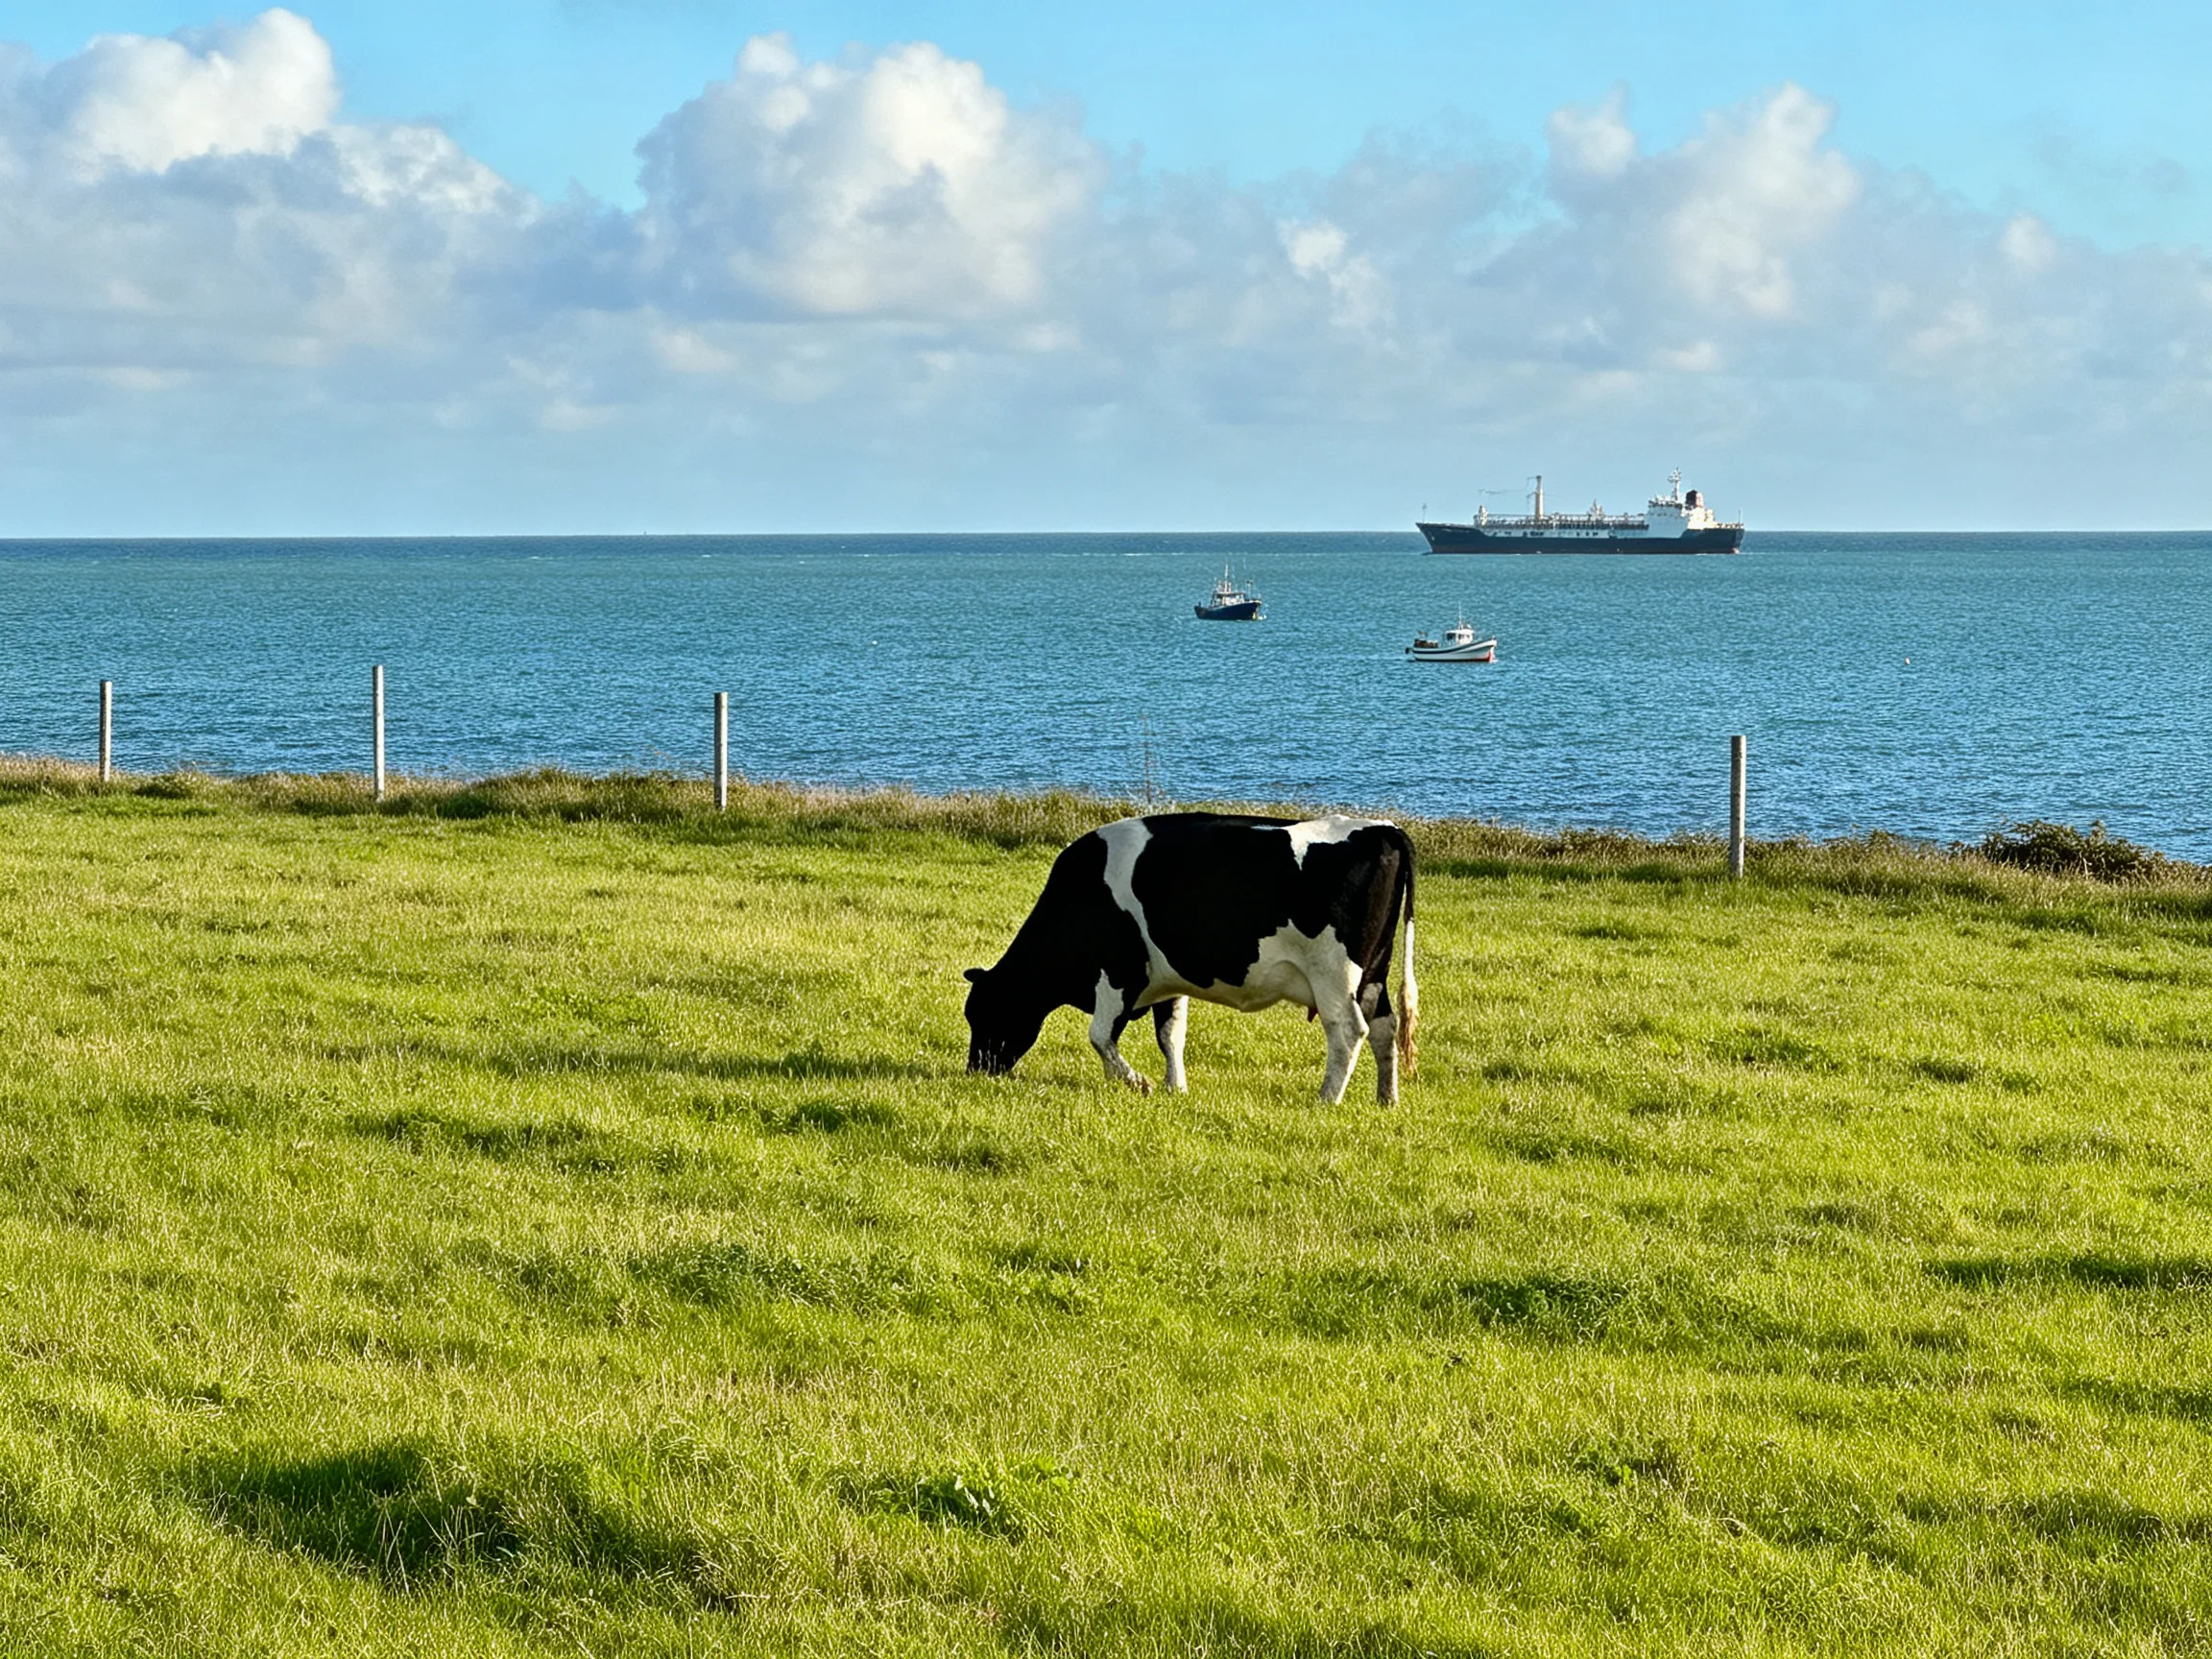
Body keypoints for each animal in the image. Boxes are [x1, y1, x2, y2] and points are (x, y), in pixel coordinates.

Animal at [962, 812, 1417, 1104]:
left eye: (986, 1012)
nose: (977, 1070)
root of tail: (1383, 829)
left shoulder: (1118, 971)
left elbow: (1100, 1036)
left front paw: (1137, 1082)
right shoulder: (1166, 979)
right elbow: (1171, 1034)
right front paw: (1174, 1087)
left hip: (1334, 974)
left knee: (1348, 1031)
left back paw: (1327, 1098)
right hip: (1374, 972)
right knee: (1385, 1027)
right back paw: (1386, 1099)